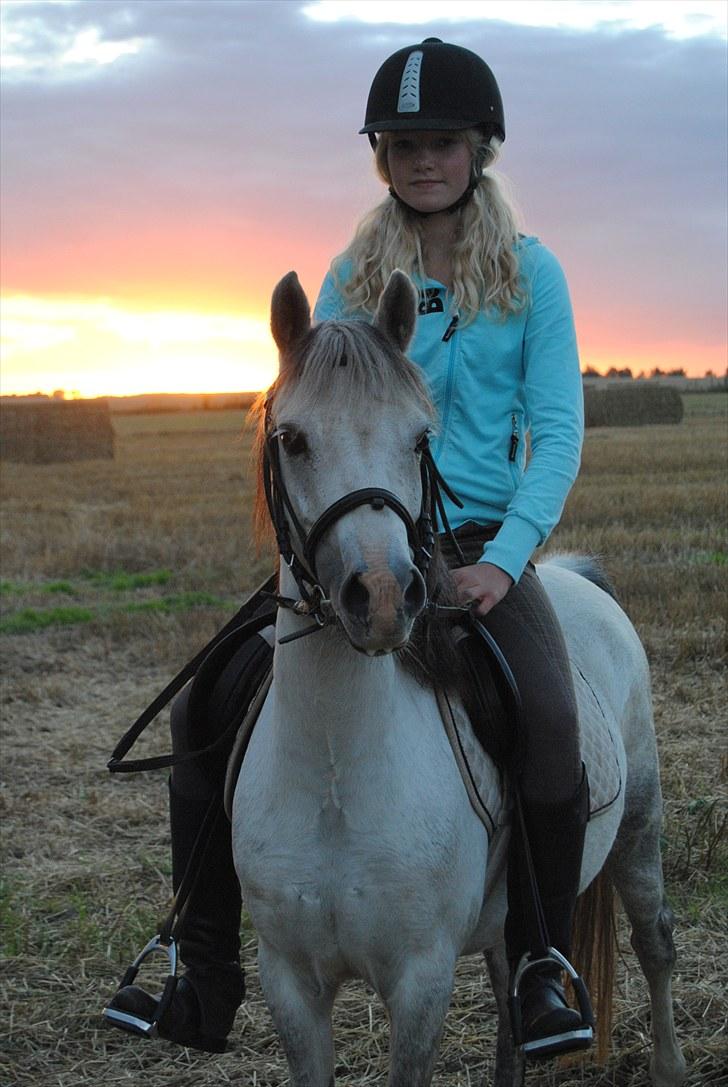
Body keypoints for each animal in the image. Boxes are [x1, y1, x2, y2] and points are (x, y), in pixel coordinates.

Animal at [231, 269, 686, 1087]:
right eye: (293, 438)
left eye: (421, 438)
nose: (382, 596)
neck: (337, 770)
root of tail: (575, 575)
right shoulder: (290, 981)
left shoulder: (420, 980)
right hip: (516, 923)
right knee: (515, 1005)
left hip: (640, 822)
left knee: (653, 939)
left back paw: (669, 1063)